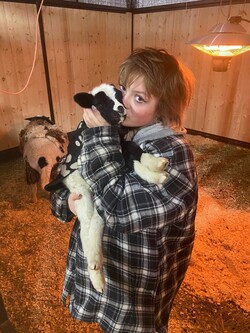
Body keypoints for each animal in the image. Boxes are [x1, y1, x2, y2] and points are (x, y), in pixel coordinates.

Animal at [45, 84, 169, 292]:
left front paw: (157, 166)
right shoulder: (117, 149)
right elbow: (132, 158)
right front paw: (157, 172)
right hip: (83, 193)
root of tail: (63, 179)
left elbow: (134, 152)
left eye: (119, 96)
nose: (120, 109)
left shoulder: (121, 145)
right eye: (101, 104)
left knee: (95, 223)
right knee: (87, 229)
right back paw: (96, 272)